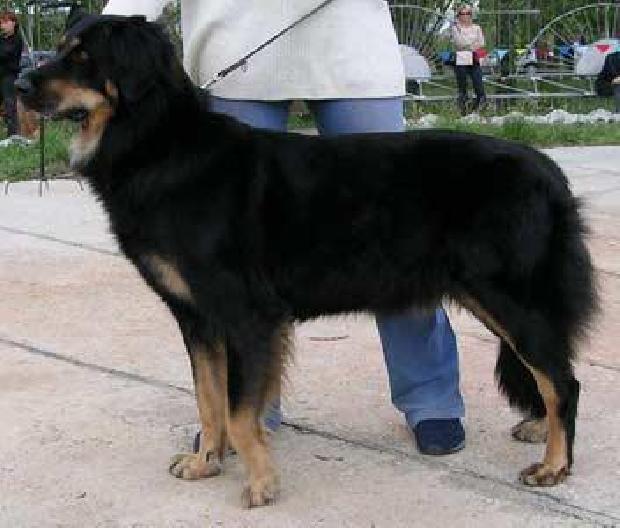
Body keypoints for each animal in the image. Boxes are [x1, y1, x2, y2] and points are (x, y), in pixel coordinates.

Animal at [16, 16, 598, 507]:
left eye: (82, 57)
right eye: (61, 49)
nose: (19, 85)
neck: (159, 144)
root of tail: (550, 172)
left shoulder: (247, 315)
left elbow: (238, 410)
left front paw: (260, 484)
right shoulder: (198, 319)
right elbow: (209, 398)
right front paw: (207, 462)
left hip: (507, 295)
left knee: (562, 380)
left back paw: (554, 465)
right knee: (550, 370)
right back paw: (541, 430)